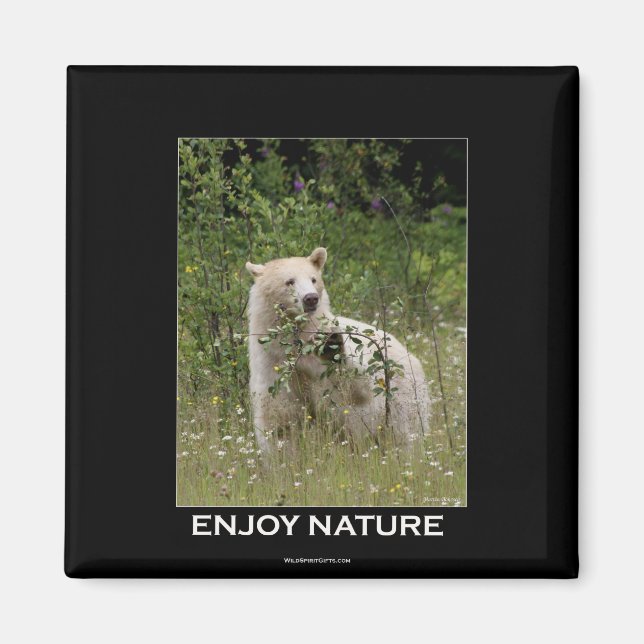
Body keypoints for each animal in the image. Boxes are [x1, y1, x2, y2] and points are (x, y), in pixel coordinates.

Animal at [245, 247, 430, 454]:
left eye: (313, 279)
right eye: (289, 281)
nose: (311, 298)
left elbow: (351, 392)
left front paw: (330, 349)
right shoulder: (272, 367)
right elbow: (281, 423)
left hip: (403, 397)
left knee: (406, 434)